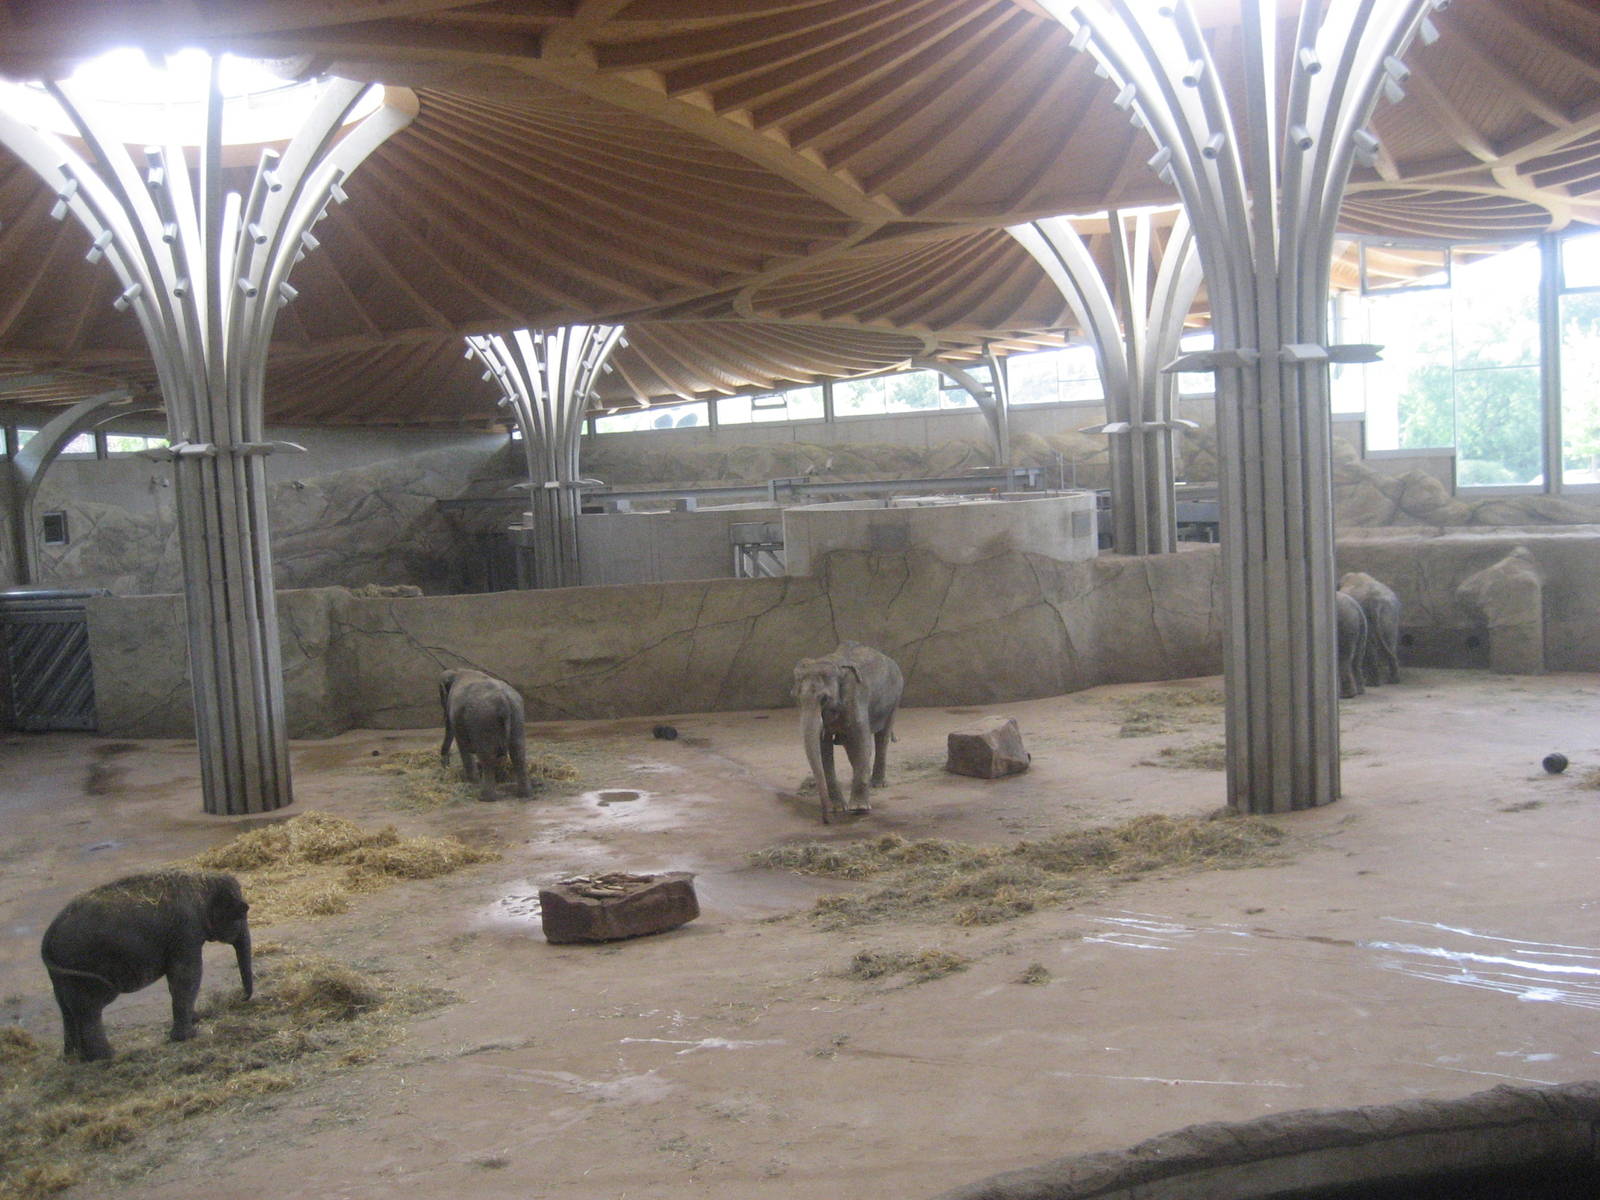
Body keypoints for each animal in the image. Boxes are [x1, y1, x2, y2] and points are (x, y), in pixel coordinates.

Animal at [40, 869, 253, 1062]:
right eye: (241, 913)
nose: (240, 998)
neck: (201, 881)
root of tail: (49, 936)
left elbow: (179, 980)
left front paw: (196, 1019)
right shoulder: (186, 932)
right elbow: (187, 975)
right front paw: (188, 1035)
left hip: (62, 972)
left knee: (66, 1006)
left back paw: (74, 1057)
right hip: (83, 965)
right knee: (90, 1008)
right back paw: (106, 1057)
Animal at [439, 667, 532, 801]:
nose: (445, 765)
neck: (457, 671)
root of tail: (503, 700)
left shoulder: (455, 714)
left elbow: (462, 743)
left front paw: (472, 782)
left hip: (484, 718)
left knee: (487, 755)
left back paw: (485, 797)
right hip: (517, 714)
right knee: (518, 752)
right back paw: (524, 794)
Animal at [793, 642, 904, 823]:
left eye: (824, 699)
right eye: (796, 698)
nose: (826, 820)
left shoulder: (856, 697)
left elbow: (863, 740)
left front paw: (859, 808)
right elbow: (824, 749)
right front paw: (838, 808)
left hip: (895, 697)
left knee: (882, 737)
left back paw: (877, 784)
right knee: (850, 745)